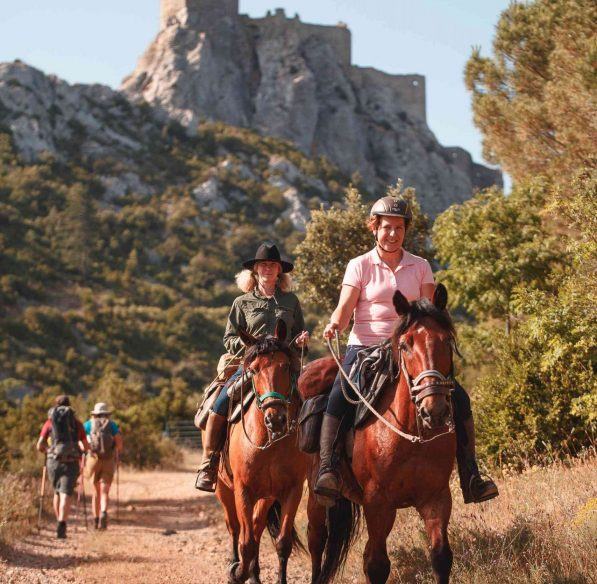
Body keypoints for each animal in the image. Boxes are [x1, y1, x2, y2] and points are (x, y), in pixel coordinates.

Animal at [212, 320, 308, 584]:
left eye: (286, 366)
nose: (275, 419)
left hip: (266, 497)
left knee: (256, 527)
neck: (269, 443)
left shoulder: (291, 490)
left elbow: (282, 543)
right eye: (254, 370)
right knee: (236, 529)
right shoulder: (243, 490)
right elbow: (245, 544)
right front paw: (236, 572)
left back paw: (254, 575)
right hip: (224, 490)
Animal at [302, 284, 456, 584]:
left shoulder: (437, 497)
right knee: (316, 544)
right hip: (317, 501)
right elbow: (376, 566)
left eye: (446, 341)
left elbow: (441, 557)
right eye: (405, 345)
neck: (411, 436)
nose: (434, 410)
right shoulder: (378, 502)